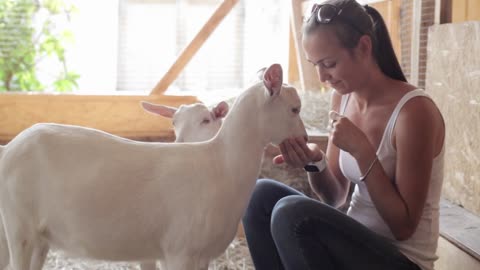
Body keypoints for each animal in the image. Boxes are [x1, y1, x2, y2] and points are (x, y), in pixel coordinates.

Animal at [0, 63, 308, 270]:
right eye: (295, 109)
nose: (305, 138)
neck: (221, 166)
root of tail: (9, 149)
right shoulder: (180, 251)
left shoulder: (201, 255)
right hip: (20, 228)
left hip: (30, 235)